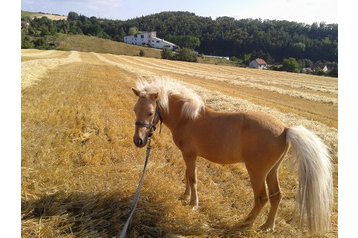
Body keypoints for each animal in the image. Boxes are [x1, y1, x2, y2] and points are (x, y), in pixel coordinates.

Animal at [131, 78, 332, 234]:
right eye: (135, 109)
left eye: (150, 112)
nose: (138, 141)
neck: (187, 118)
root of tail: (285, 130)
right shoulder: (187, 155)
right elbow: (187, 176)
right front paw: (184, 197)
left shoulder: (190, 155)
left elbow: (193, 178)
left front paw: (193, 204)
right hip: (272, 171)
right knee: (276, 196)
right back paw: (267, 226)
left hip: (257, 172)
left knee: (262, 198)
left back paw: (246, 223)